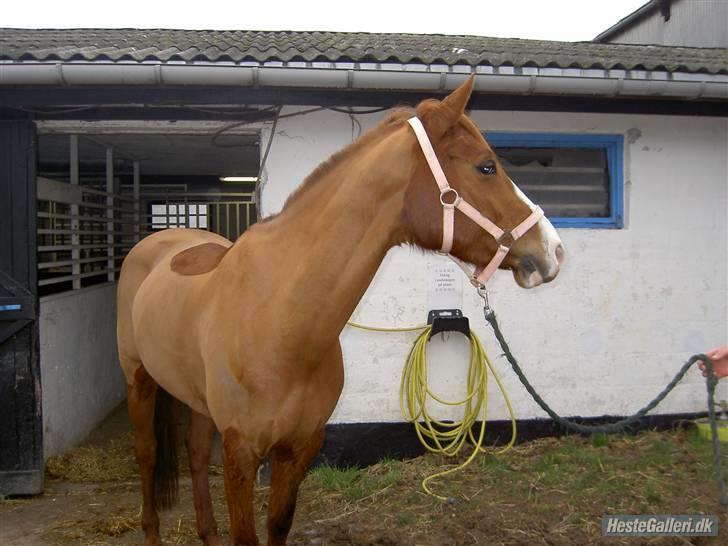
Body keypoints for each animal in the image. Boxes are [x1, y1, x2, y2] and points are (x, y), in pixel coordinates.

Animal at [116, 75, 565, 546]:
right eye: (486, 166)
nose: (554, 251)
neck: (278, 318)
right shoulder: (241, 455)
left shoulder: (300, 448)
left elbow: (278, 524)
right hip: (138, 381)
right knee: (148, 456)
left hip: (198, 403)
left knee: (197, 454)